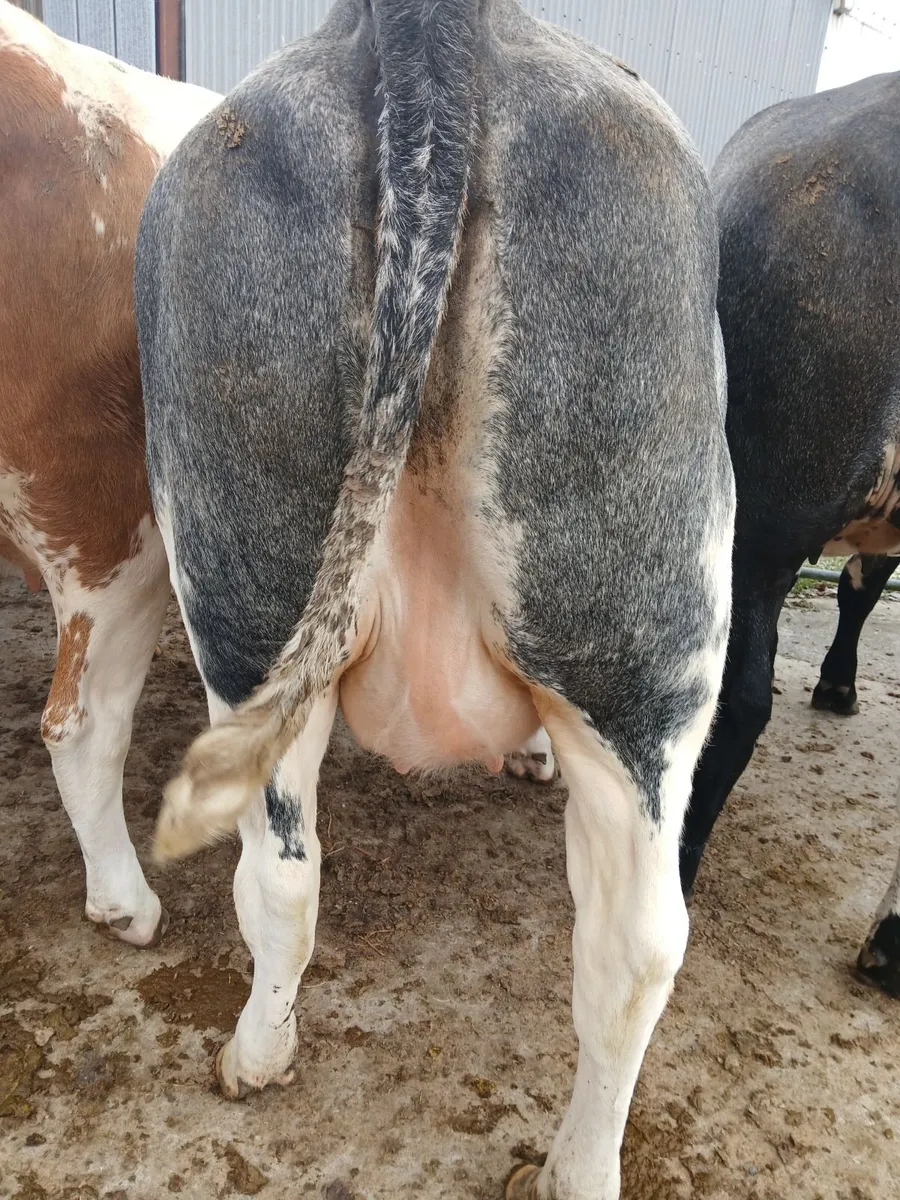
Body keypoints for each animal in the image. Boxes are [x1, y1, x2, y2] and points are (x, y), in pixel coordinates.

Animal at [135, 2, 734, 1194]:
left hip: (252, 601)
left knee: (285, 875)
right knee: (636, 948)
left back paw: (257, 1058)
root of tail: (428, 25)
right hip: (641, 646)